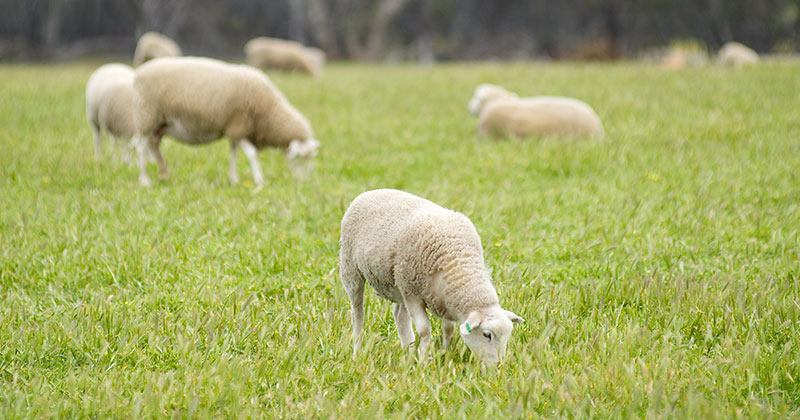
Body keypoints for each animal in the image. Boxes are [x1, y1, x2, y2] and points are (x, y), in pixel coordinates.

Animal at [130, 56, 318, 187]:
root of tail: (138, 73)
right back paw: (144, 180)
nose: (304, 181)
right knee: (141, 148)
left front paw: (233, 179)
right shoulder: (239, 125)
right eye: (299, 158)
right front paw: (259, 179)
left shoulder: (235, 128)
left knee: (152, 146)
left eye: (310, 159)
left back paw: (163, 174)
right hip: (147, 116)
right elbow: (251, 154)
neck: (268, 111)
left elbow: (233, 152)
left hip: (159, 124)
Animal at [340, 189, 520, 366]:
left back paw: (408, 352)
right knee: (357, 313)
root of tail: (372, 191)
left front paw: (444, 354)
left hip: (399, 282)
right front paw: (425, 361)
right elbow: (424, 330)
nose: (499, 367)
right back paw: (357, 352)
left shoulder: (445, 300)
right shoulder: (413, 294)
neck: (458, 261)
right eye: (487, 335)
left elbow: (448, 329)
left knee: (400, 315)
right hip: (351, 269)